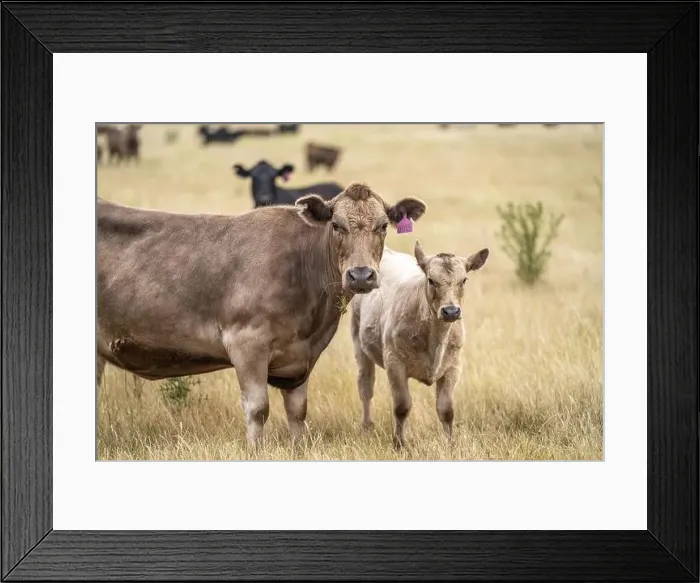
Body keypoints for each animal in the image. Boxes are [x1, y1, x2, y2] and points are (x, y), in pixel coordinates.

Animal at [97, 183, 427, 447]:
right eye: (336, 225)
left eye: (383, 226)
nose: (360, 275)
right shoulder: (246, 343)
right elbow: (257, 409)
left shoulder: (300, 359)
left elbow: (298, 414)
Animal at [349, 241, 489, 449]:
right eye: (431, 280)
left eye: (464, 280)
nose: (451, 311)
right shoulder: (394, 362)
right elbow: (402, 406)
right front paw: (399, 443)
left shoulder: (453, 366)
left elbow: (446, 409)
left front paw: (450, 444)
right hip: (358, 341)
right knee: (365, 387)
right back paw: (366, 426)